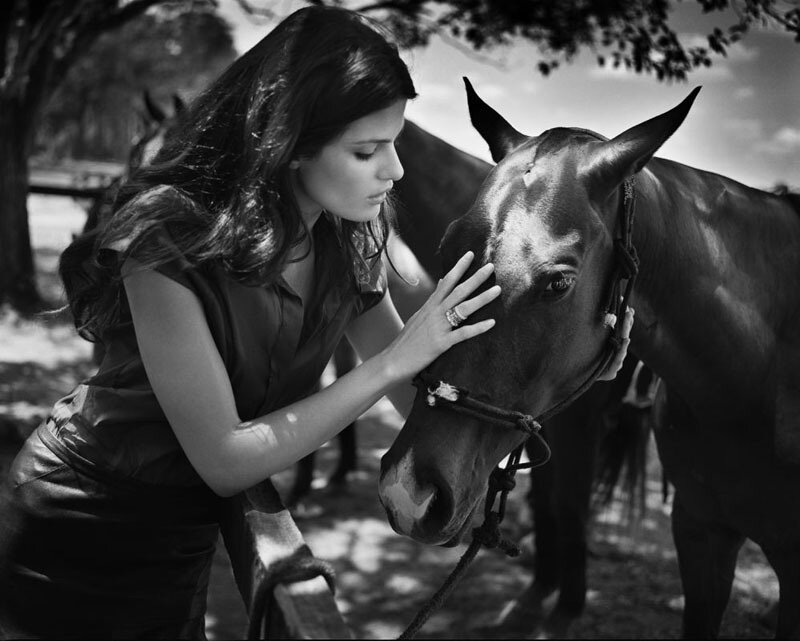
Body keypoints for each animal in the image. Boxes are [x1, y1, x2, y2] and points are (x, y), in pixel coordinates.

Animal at [378, 79, 800, 638]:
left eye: (558, 283)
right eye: (448, 249)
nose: (409, 492)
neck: (757, 382)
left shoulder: (576, 427)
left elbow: (567, 504)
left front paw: (564, 604)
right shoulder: (699, 532)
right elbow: (547, 501)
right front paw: (541, 591)